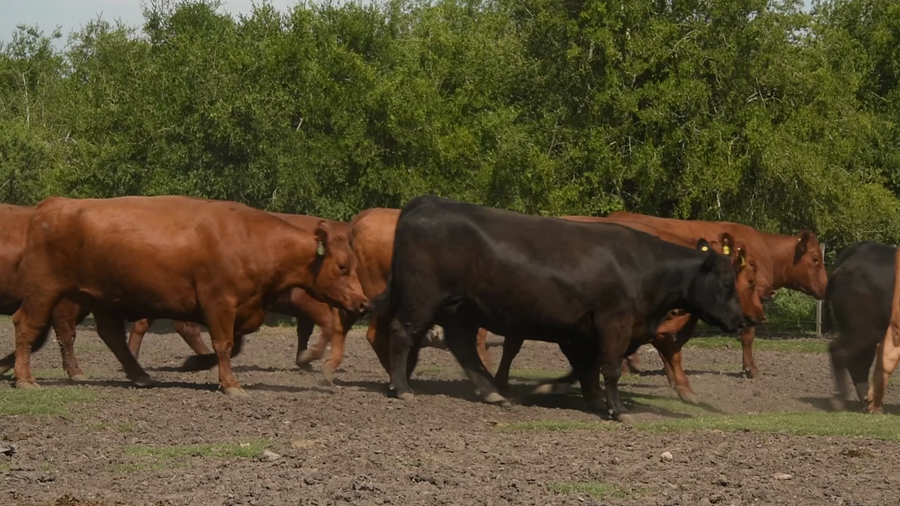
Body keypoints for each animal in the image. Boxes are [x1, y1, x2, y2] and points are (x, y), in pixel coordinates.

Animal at [8, 196, 368, 395]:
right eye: (342, 266)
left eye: (354, 264)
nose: (363, 303)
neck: (252, 240)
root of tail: (52, 205)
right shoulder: (219, 304)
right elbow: (224, 345)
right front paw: (231, 385)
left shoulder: (238, 309)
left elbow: (232, 346)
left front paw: (195, 363)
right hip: (44, 291)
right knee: (26, 326)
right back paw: (25, 378)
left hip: (102, 299)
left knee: (112, 336)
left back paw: (140, 375)